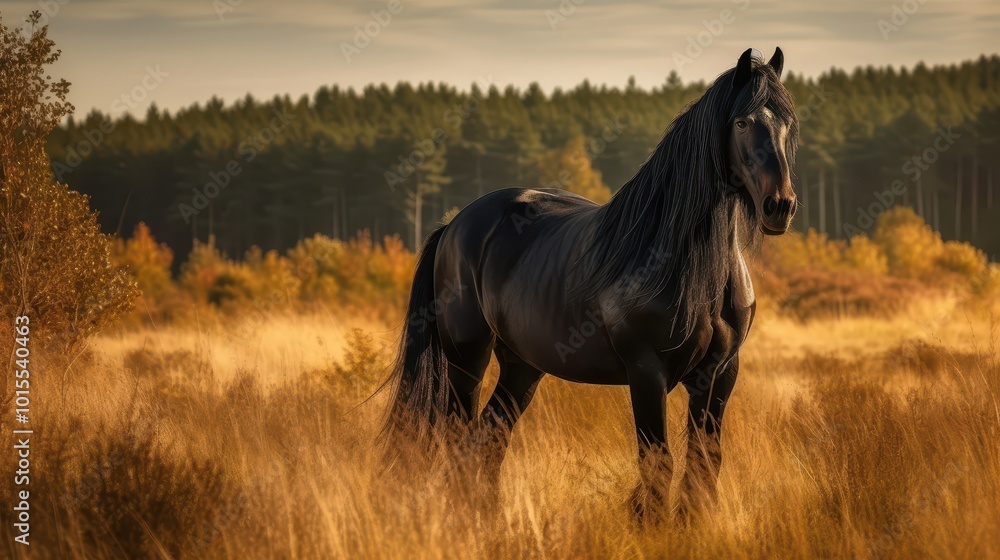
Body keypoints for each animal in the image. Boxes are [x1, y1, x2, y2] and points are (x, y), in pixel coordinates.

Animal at [383, 47, 799, 516]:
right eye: (743, 122)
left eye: (788, 123)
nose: (780, 206)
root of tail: (454, 225)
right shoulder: (647, 372)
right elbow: (658, 462)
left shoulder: (721, 372)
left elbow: (704, 464)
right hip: (466, 359)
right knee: (459, 440)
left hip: (522, 366)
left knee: (488, 438)